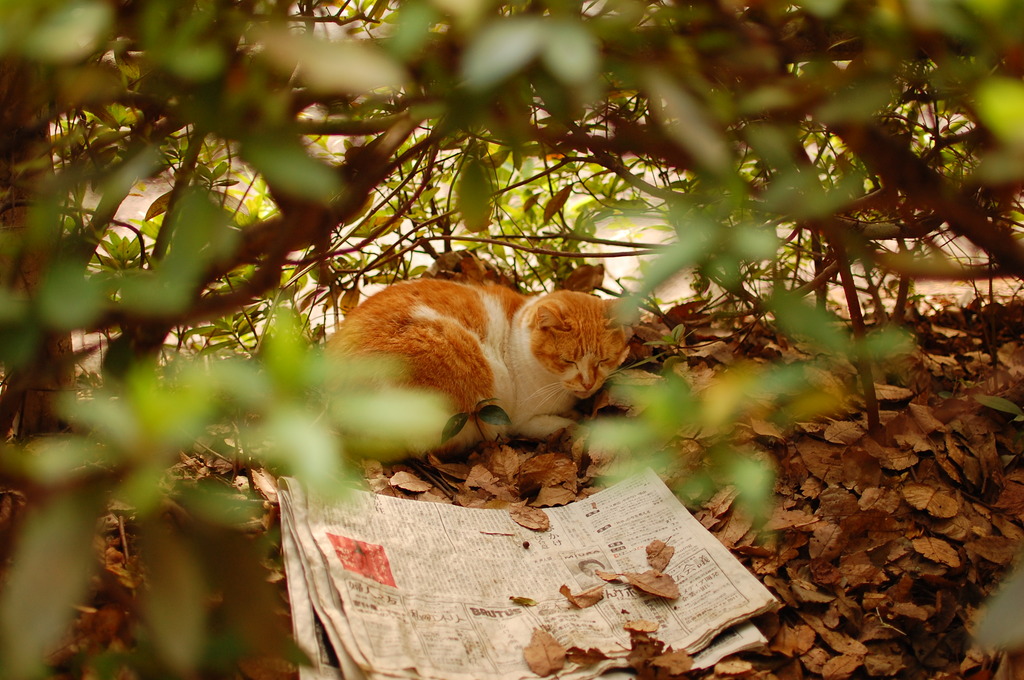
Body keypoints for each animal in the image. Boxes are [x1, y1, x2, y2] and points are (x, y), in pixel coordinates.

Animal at [331, 278, 626, 454]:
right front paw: (581, 423)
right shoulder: (523, 420)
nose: (588, 383)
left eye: (604, 360)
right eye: (567, 361)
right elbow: (561, 424)